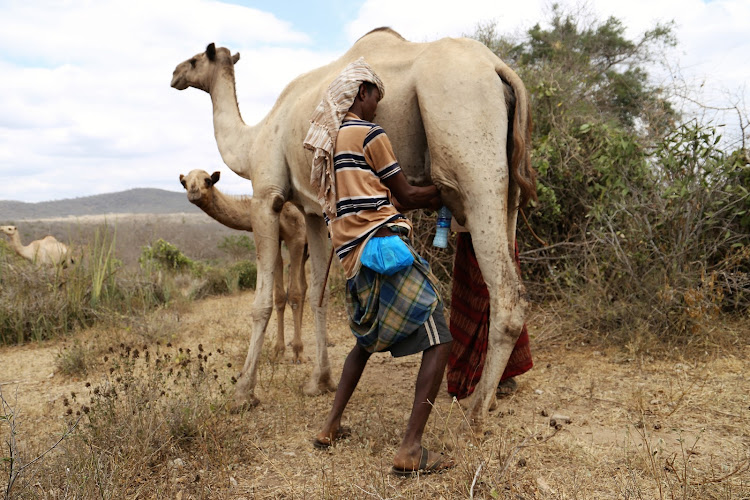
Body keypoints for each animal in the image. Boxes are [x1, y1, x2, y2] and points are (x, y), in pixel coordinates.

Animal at [171, 27, 536, 424]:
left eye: (195, 59)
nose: (174, 75)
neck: (253, 141)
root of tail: (501, 69)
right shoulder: (312, 211)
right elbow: (315, 293)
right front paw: (319, 380)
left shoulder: (267, 196)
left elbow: (262, 301)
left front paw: (243, 392)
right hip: (507, 186)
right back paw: (491, 397)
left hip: (471, 156)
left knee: (507, 291)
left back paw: (476, 410)